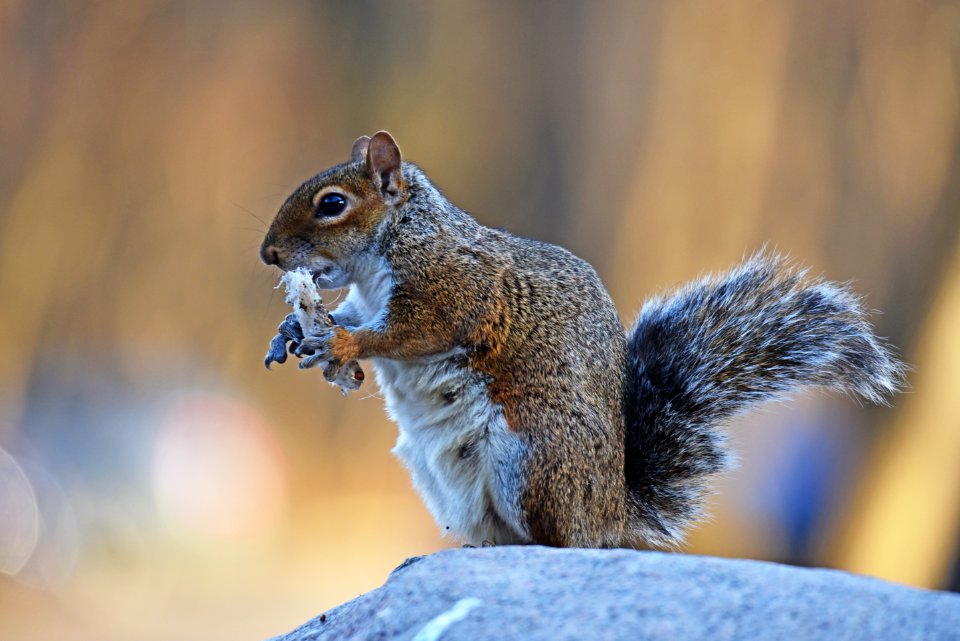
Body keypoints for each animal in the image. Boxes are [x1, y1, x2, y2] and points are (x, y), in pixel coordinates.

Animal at [258, 132, 904, 548]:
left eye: (333, 204)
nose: (268, 254)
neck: (396, 242)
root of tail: (609, 514)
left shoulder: (452, 289)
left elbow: (414, 332)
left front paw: (342, 346)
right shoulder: (367, 297)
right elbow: (352, 315)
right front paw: (290, 330)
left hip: (535, 464)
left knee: (561, 542)